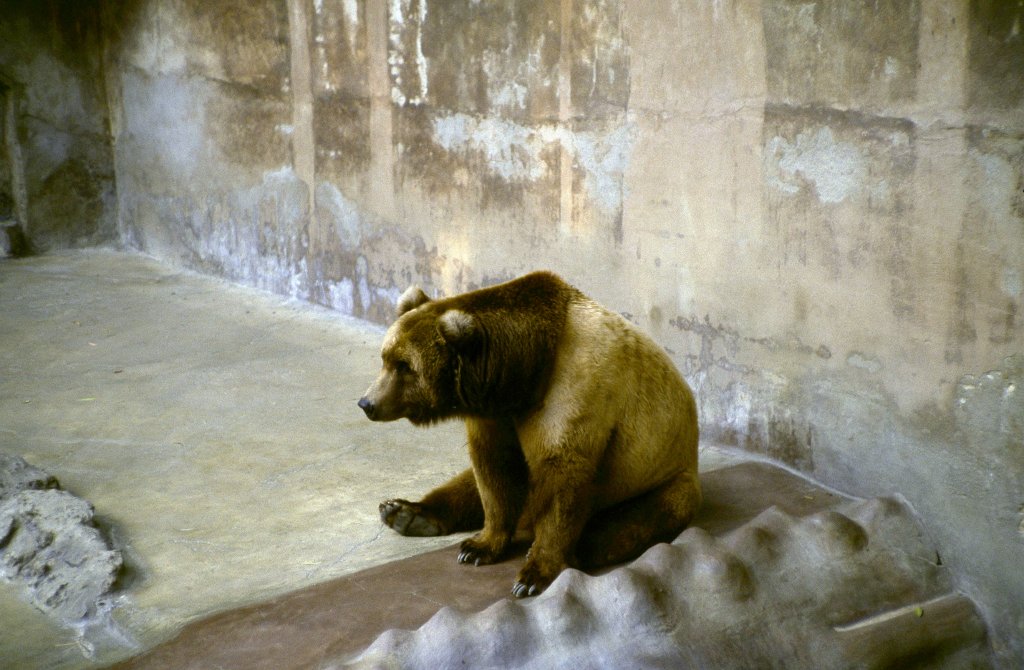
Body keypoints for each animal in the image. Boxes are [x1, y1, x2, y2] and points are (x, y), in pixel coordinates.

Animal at [358, 271, 700, 598]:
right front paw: (478, 546)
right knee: (464, 485)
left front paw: (533, 574)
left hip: (660, 477)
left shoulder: (575, 391)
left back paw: (584, 546)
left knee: (628, 523)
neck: (525, 372)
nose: (367, 403)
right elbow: (493, 472)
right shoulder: (495, 415)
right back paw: (404, 512)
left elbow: (561, 480)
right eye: (385, 358)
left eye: (404, 366)